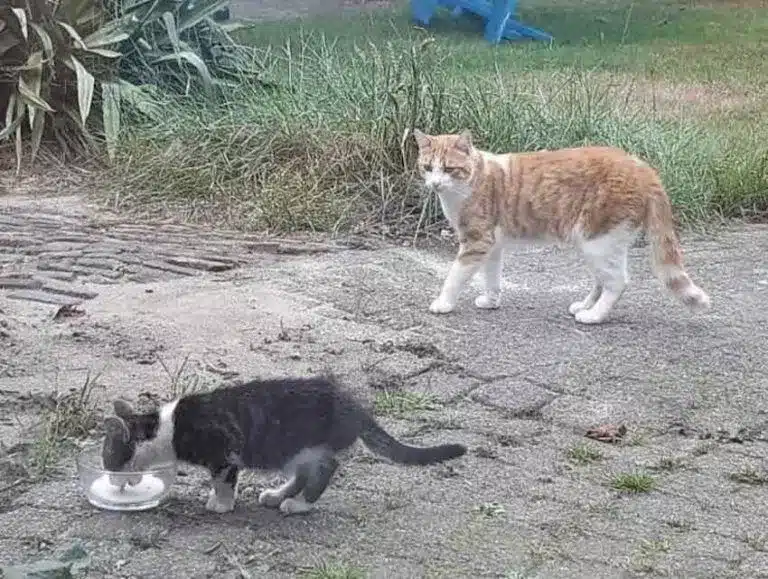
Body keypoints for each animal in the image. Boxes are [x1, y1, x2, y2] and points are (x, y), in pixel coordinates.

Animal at [100, 376, 462, 516]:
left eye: (108, 459)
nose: (113, 484)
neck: (166, 428)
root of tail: (353, 404)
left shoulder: (225, 449)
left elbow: (223, 479)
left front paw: (222, 503)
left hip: (307, 445)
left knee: (326, 468)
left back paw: (299, 504)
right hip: (293, 451)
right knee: (303, 473)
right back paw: (278, 495)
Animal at [414, 129, 708, 324]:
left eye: (449, 169)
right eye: (427, 167)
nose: (435, 184)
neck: (465, 186)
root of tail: (642, 167)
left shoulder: (476, 241)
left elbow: (455, 276)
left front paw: (443, 303)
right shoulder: (492, 245)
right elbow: (492, 277)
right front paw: (491, 301)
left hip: (597, 241)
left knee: (617, 282)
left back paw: (594, 316)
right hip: (601, 244)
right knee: (603, 280)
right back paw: (584, 306)